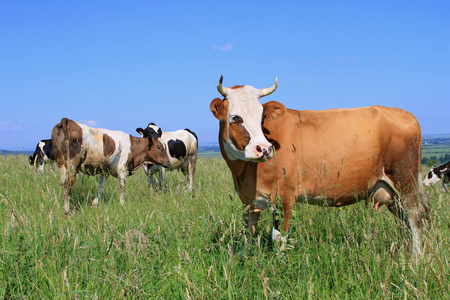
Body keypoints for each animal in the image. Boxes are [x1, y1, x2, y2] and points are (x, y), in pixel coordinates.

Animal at [209, 75, 430, 255]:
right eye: (236, 118)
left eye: (262, 116)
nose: (265, 149)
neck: (244, 173)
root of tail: (405, 113)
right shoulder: (248, 201)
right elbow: (247, 237)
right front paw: (246, 261)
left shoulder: (284, 197)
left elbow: (278, 238)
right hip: (391, 191)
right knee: (404, 221)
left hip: (405, 181)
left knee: (415, 218)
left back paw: (416, 259)